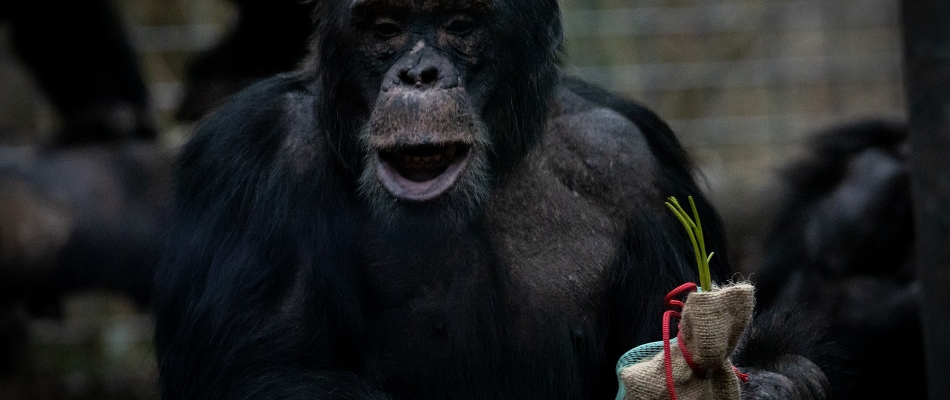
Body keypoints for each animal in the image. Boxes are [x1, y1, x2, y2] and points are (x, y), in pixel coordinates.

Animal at [152, 1, 836, 398]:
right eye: (385, 28)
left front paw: (769, 385)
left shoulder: (640, 166)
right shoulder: (249, 158)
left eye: (459, 25)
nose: (419, 73)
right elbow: (264, 370)